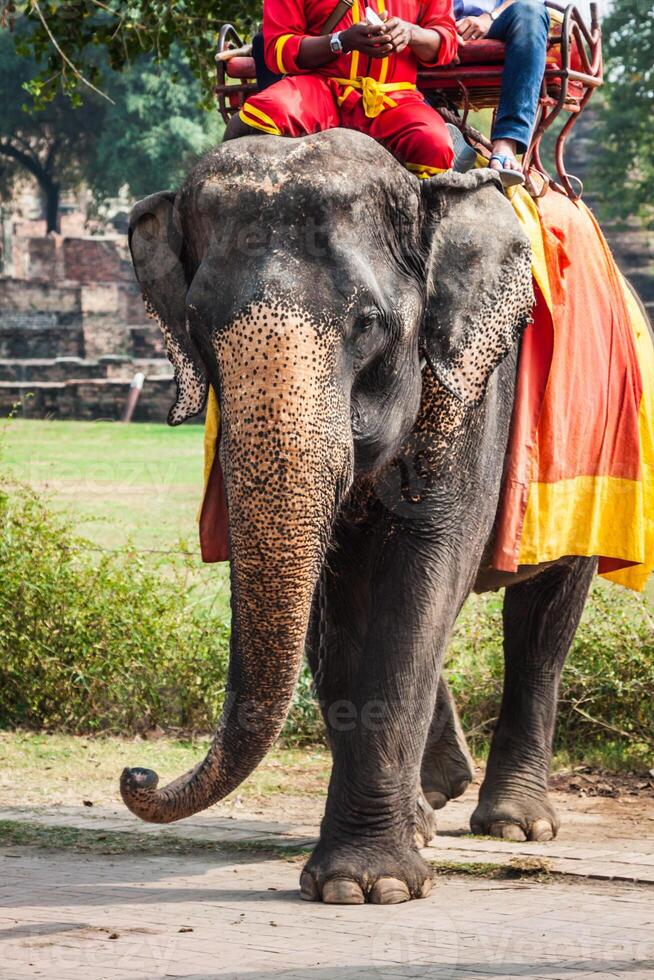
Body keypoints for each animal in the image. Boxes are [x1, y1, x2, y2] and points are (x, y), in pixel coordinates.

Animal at [121, 128, 600, 904]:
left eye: (369, 324)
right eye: (195, 325)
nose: (138, 774)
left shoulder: (471, 393)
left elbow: (423, 577)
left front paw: (369, 886)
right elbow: (338, 613)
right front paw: (366, 872)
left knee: (545, 619)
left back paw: (515, 825)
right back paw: (434, 804)